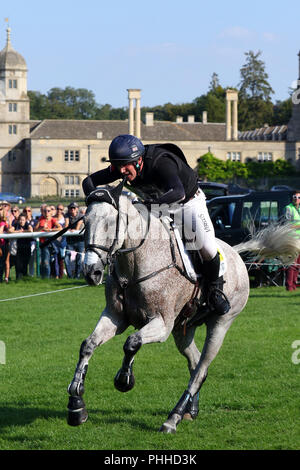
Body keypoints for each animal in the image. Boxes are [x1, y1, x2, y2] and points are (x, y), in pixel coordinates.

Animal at [66, 184, 298, 434]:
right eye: (84, 222)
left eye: (110, 222)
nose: (92, 272)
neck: (135, 264)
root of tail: (235, 254)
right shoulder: (115, 317)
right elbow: (88, 345)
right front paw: (76, 405)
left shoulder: (162, 324)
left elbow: (131, 343)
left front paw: (124, 379)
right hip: (183, 329)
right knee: (195, 364)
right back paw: (190, 410)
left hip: (220, 323)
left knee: (201, 370)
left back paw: (173, 418)